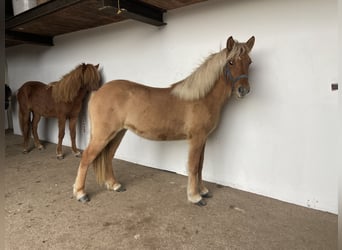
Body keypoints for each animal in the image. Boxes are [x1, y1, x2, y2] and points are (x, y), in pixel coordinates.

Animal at [74, 36, 254, 205]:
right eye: (231, 62)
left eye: (249, 62)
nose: (243, 90)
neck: (202, 98)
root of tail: (98, 92)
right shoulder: (196, 139)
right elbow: (193, 166)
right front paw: (195, 197)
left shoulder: (203, 139)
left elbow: (201, 165)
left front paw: (203, 191)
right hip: (103, 135)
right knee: (86, 158)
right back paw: (81, 193)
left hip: (118, 133)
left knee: (109, 156)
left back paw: (114, 185)